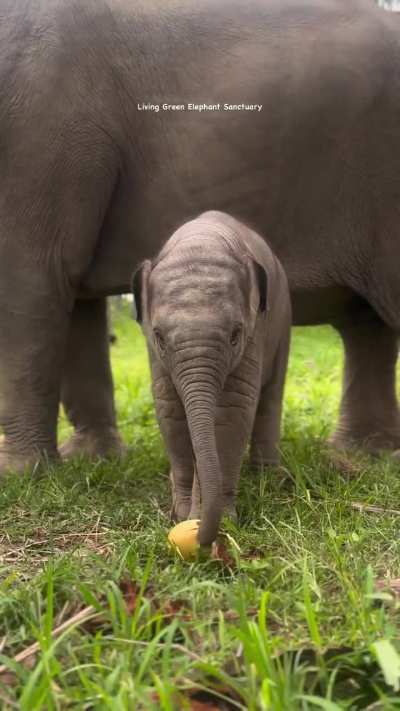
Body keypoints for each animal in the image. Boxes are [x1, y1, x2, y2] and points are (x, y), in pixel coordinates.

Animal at [1, 0, 400, 476]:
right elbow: (73, 293)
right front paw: (93, 460)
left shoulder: (38, 131)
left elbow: (31, 281)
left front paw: (19, 475)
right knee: (367, 325)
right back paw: (363, 455)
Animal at [132, 212, 291, 545]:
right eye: (160, 337)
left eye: (235, 335)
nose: (200, 536)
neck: (202, 240)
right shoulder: (154, 354)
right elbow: (170, 410)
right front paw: (181, 515)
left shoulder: (256, 331)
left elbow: (232, 411)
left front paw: (220, 520)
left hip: (283, 324)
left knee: (271, 395)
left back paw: (267, 476)